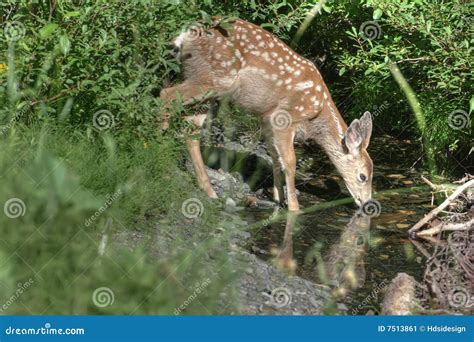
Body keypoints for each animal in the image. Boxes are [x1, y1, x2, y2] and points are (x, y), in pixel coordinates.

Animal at [160, 18, 374, 211]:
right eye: (363, 176)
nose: (367, 203)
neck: (316, 115)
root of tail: (185, 36)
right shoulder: (285, 118)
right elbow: (290, 162)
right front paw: (294, 207)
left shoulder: (266, 120)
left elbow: (275, 157)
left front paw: (279, 197)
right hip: (213, 79)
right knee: (166, 95)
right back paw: (157, 145)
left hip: (208, 90)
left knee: (191, 128)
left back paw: (209, 190)